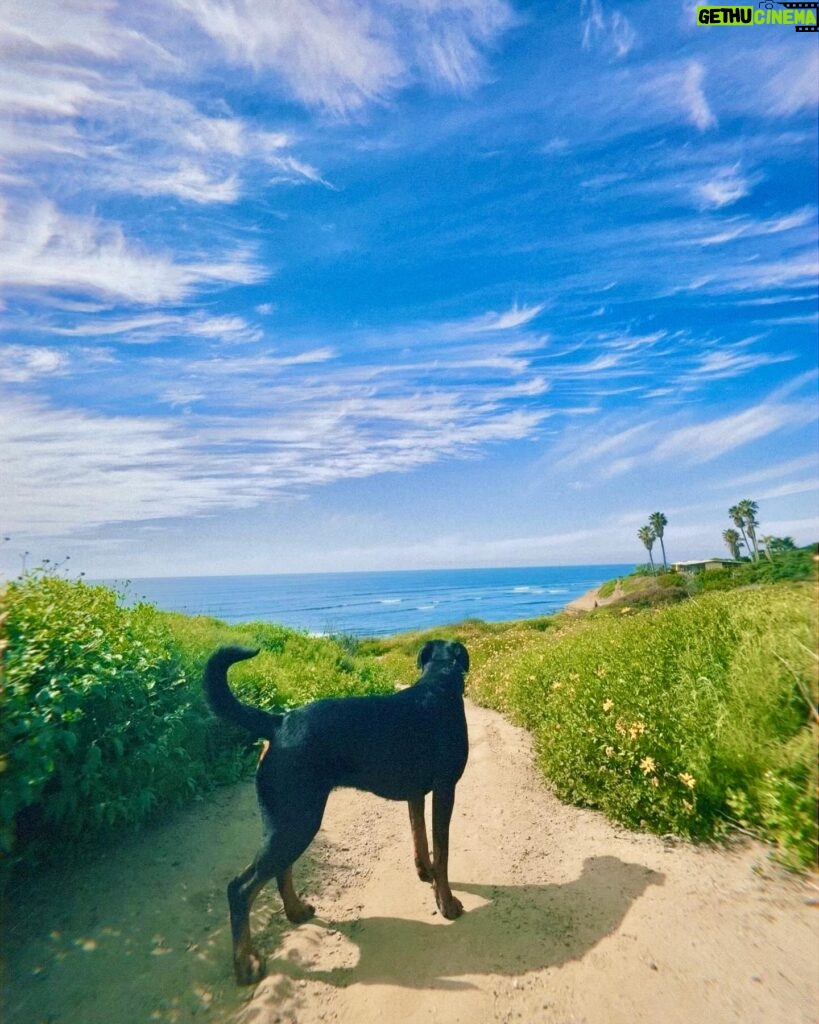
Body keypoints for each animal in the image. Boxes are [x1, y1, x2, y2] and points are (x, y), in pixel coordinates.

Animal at [203, 638, 470, 983]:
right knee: (240, 888)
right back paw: (246, 963)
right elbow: (443, 851)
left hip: (290, 818)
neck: (440, 680)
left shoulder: (416, 794)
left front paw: (425, 874)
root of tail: (278, 723)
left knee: (280, 870)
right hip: (298, 820)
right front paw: (446, 902)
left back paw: (296, 911)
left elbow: (420, 837)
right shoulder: (445, 789)